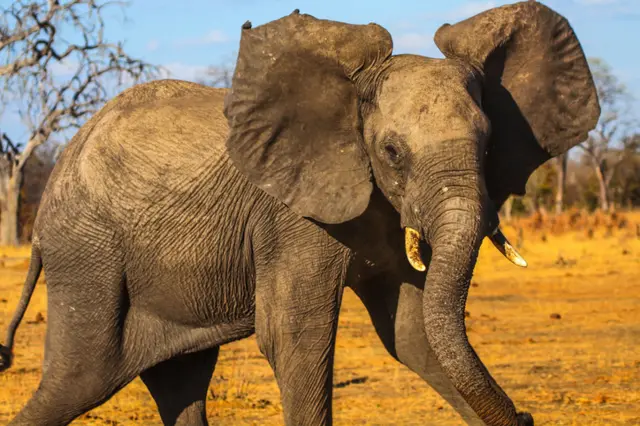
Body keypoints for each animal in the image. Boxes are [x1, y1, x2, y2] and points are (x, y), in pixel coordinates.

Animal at [0, 2, 599, 425]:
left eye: (490, 143)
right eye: (392, 152)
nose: (528, 416)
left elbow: (413, 333)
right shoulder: (290, 218)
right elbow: (294, 335)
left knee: (179, 384)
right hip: (88, 256)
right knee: (78, 378)